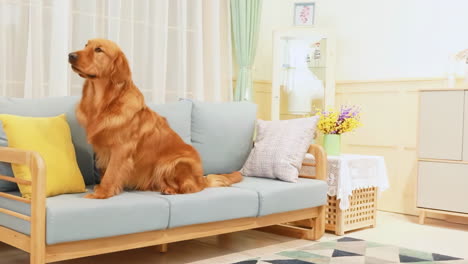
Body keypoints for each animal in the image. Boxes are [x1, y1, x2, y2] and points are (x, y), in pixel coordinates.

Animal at [68, 39, 243, 199]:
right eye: (86, 45)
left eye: (99, 50)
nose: (70, 55)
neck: (105, 103)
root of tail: (202, 178)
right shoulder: (102, 151)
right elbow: (106, 172)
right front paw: (101, 189)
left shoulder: (121, 149)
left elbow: (111, 174)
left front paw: (101, 193)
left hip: (173, 163)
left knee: (191, 188)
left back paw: (171, 190)